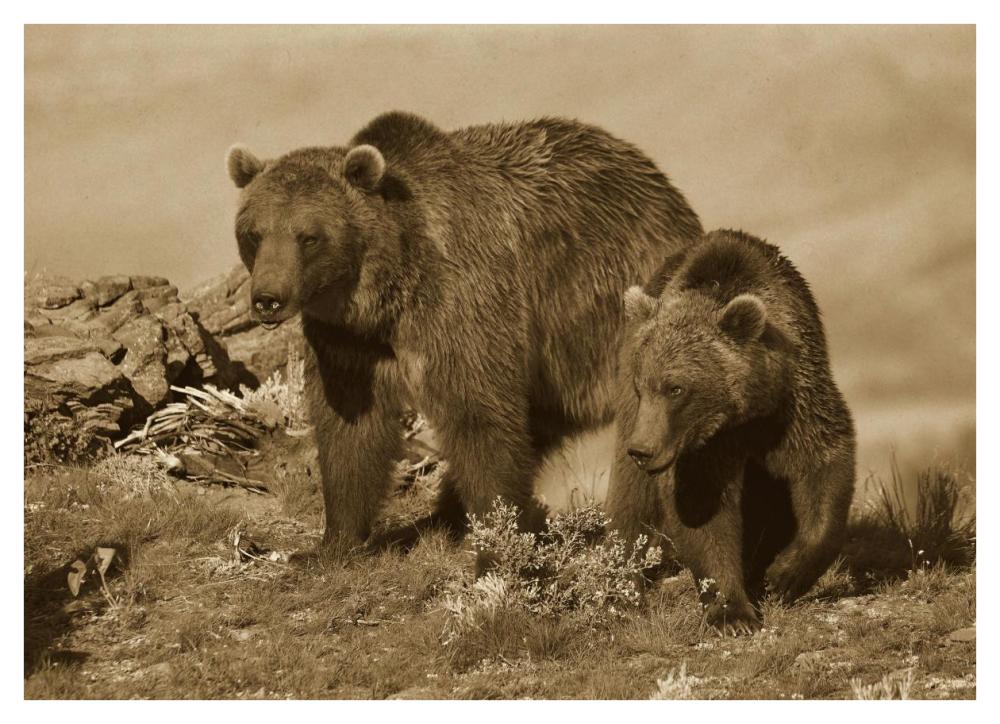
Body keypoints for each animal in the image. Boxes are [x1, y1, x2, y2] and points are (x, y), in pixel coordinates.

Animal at [225, 111, 703, 555]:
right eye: (254, 233)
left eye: (308, 236)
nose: (268, 298)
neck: (388, 292)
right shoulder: (348, 340)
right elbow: (350, 429)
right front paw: (334, 543)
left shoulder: (463, 302)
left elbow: (479, 415)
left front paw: (501, 543)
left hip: (615, 325)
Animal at [606, 228, 856, 634]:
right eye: (643, 387)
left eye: (676, 388)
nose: (643, 450)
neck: (744, 411)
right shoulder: (703, 447)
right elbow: (702, 507)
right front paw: (732, 613)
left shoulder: (794, 401)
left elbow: (821, 461)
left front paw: (784, 574)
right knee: (631, 499)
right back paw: (624, 586)